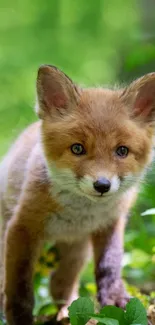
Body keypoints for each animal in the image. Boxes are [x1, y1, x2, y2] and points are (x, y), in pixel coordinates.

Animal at [0, 64, 155, 322]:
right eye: (77, 148)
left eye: (122, 151)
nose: (102, 185)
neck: (80, 214)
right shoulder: (22, 228)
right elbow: (19, 285)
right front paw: (19, 318)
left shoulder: (111, 223)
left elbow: (109, 265)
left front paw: (115, 301)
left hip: (74, 255)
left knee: (62, 287)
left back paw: (65, 313)